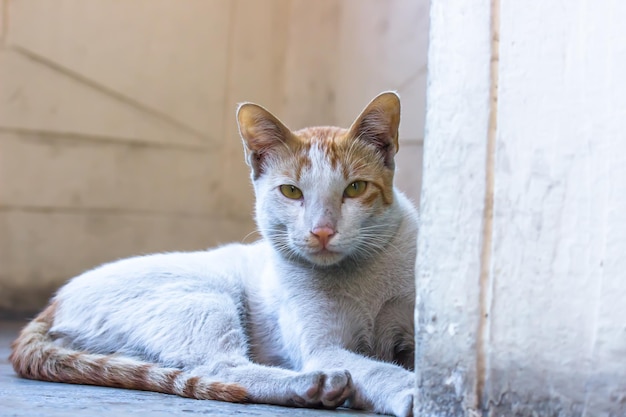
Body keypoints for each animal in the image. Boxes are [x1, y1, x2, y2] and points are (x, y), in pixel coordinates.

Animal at [8, 91, 414, 416]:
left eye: (355, 188)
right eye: (291, 192)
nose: (323, 230)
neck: (361, 276)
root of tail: (57, 299)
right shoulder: (322, 347)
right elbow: (375, 367)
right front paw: (409, 390)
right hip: (205, 300)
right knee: (218, 368)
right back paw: (314, 385)